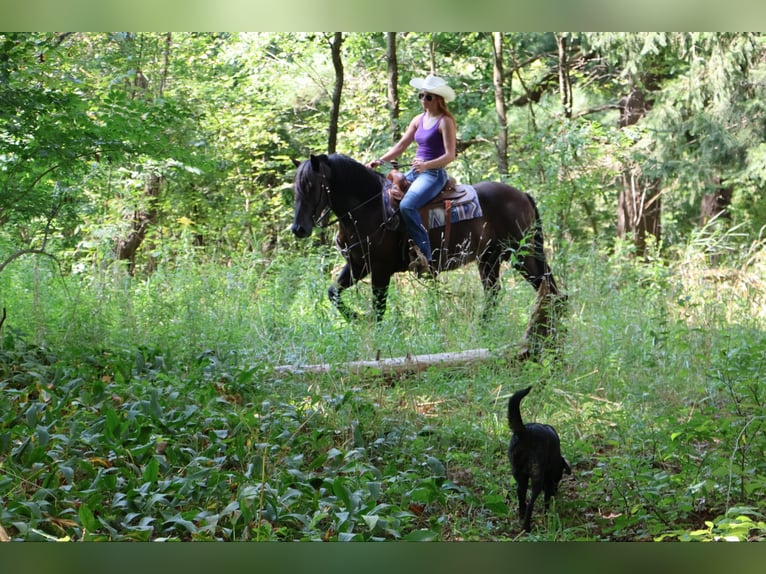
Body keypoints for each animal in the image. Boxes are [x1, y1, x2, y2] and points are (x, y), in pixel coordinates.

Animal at [291, 153, 562, 322]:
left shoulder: (380, 269)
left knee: (547, 289)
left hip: (521, 255)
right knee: (498, 294)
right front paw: (356, 319)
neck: (369, 208)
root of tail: (522, 195)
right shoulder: (358, 266)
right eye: (296, 187)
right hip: (489, 259)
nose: (298, 229)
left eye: (311, 185)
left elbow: (379, 309)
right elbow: (333, 293)